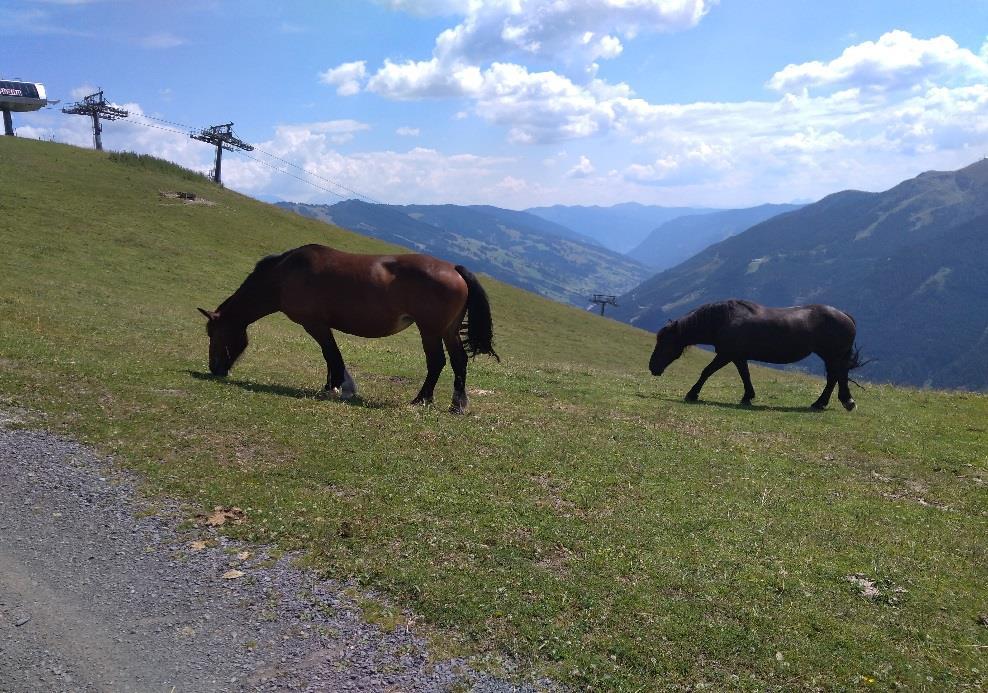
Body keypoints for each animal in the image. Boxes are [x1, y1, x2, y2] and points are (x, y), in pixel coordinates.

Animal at [198, 245, 498, 410]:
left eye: (215, 334)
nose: (215, 369)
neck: (283, 276)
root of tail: (455, 269)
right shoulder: (319, 325)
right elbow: (330, 356)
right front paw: (332, 385)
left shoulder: (315, 324)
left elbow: (332, 354)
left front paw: (340, 387)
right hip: (447, 331)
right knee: (459, 361)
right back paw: (457, 404)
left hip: (430, 331)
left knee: (436, 362)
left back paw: (421, 399)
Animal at [648, 298, 864, 408]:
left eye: (665, 342)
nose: (652, 367)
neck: (724, 319)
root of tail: (845, 315)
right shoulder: (738, 356)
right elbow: (745, 375)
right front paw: (748, 397)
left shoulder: (726, 355)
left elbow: (706, 371)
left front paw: (692, 394)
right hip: (831, 356)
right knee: (834, 377)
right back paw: (821, 403)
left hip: (833, 355)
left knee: (837, 376)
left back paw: (844, 401)